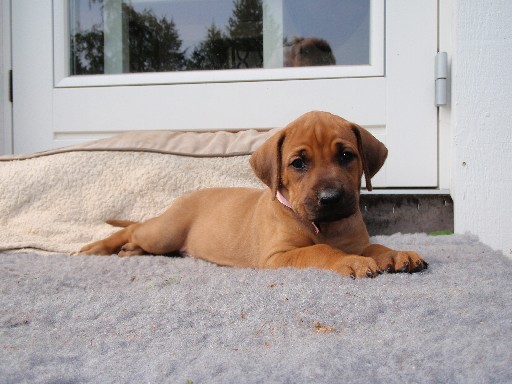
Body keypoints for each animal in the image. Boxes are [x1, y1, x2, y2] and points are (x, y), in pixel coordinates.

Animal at [81, 109, 428, 278]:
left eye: (346, 156)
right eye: (298, 163)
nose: (330, 198)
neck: (324, 225)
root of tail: (183, 198)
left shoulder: (357, 241)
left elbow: (376, 246)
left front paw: (397, 254)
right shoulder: (278, 255)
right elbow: (320, 251)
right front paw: (351, 262)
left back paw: (131, 252)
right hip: (165, 232)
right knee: (136, 228)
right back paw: (98, 247)